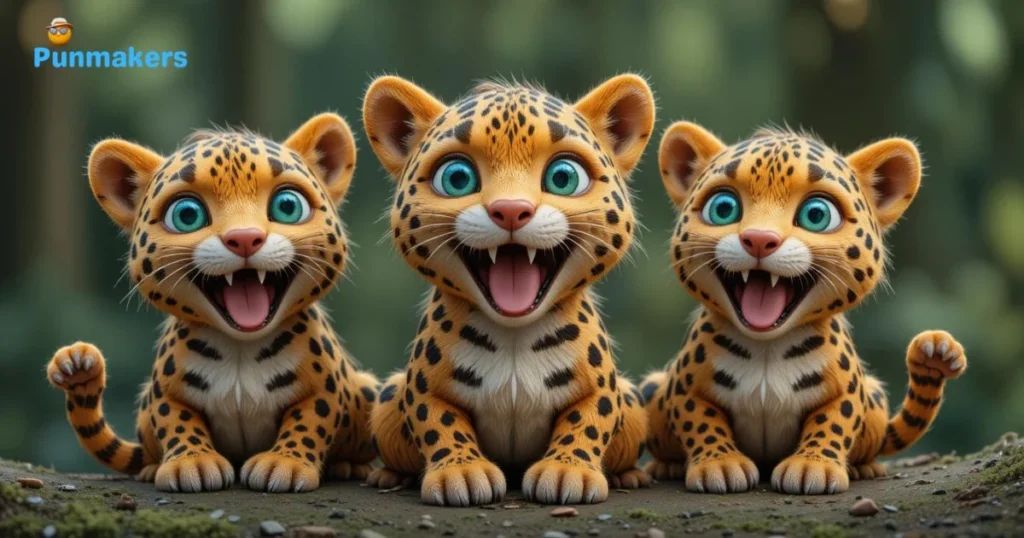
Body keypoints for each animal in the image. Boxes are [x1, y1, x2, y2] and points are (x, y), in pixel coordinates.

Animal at [45, 113, 379, 493]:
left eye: (287, 206)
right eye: (187, 214)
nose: (245, 238)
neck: (241, 348)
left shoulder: (326, 389)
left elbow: (310, 421)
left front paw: (285, 463)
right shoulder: (163, 394)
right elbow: (176, 420)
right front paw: (192, 464)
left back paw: (349, 467)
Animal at [360, 74, 656, 505]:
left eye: (563, 177)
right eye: (457, 178)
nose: (512, 211)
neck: (514, 334)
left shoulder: (604, 389)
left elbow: (588, 420)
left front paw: (566, 471)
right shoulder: (420, 389)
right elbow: (438, 421)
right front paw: (462, 473)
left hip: (632, 401)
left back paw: (628, 475)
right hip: (386, 401)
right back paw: (387, 475)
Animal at [640, 120, 967, 495]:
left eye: (816, 215)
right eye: (723, 208)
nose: (759, 240)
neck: (766, 348)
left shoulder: (848, 392)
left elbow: (833, 422)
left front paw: (813, 468)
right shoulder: (684, 389)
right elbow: (700, 421)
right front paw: (719, 465)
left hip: (874, 398)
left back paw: (864, 467)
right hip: (652, 388)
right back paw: (666, 465)